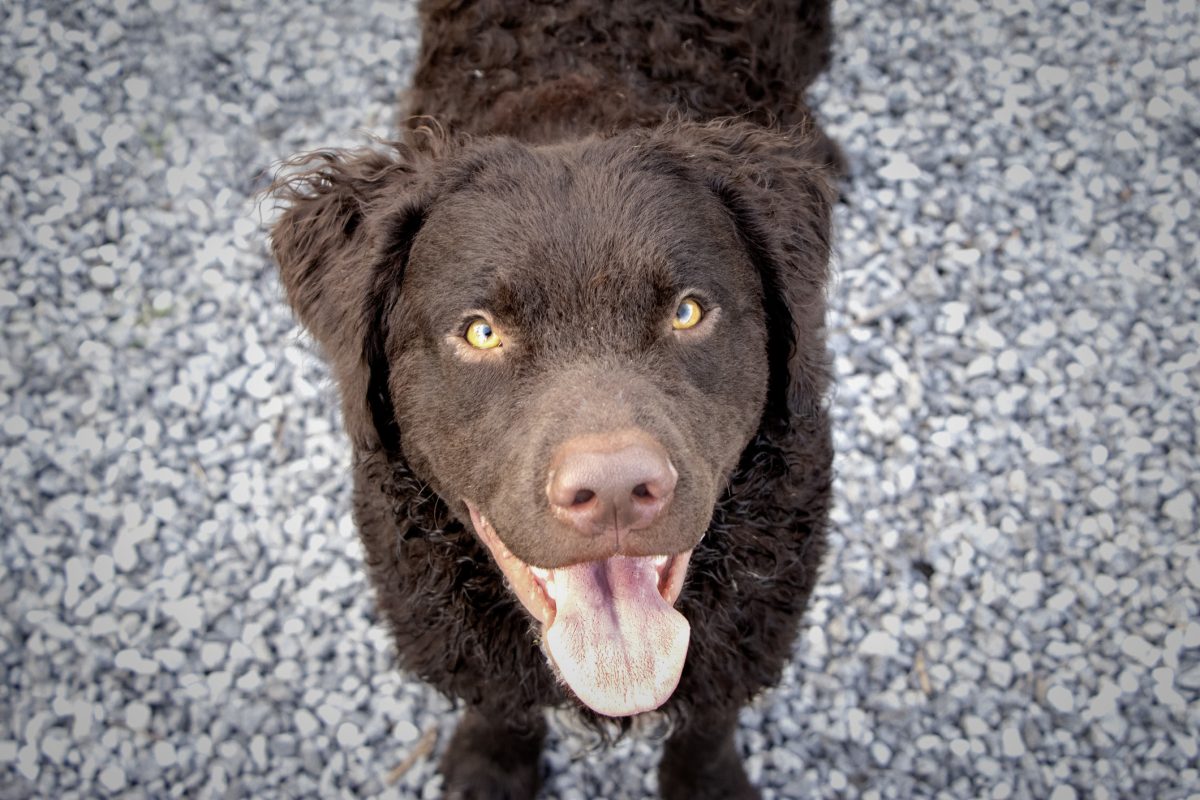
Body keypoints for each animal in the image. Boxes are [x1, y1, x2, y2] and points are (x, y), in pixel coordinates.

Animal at [270, 3, 835, 796]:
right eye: (481, 332)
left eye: (687, 312)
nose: (616, 490)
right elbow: (499, 704)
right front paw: (490, 767)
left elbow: (709, 717)